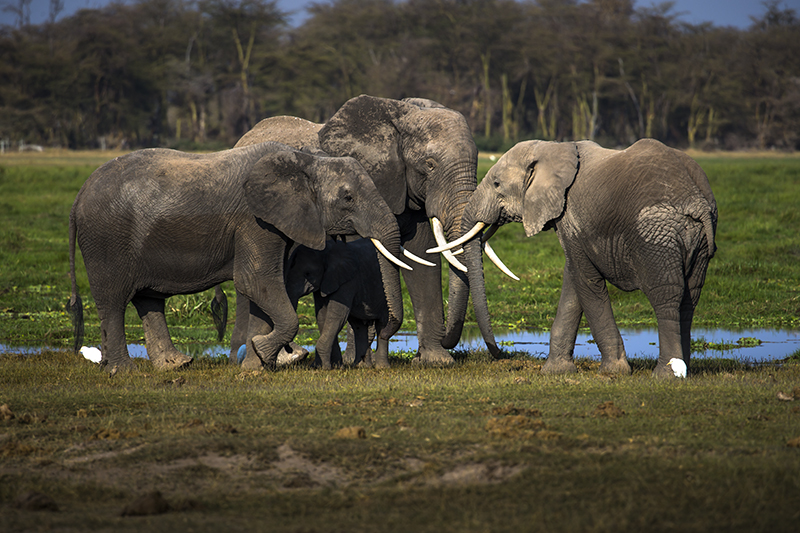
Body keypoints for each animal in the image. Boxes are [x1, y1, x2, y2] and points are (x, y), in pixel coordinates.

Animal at [286, 238, 400, 368]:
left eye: (308, 273)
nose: (289, 350)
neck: (327, 250)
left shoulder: (348, 280)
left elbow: (337, 315)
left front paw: (325, 368)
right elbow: (322, 315)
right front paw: (334, 366)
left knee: (382, 324)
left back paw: (382, 367)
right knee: (359, 327)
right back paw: (361, 366)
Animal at [438, 139, 720, 376]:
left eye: (497, 184)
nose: (501, 354)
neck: (553, 148)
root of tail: (695, 199)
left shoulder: (572, 216)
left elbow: (585, 279)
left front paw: (613, 371)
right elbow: (573, 280)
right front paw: (555, 372)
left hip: (655, 232)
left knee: (666, 293)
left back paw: (667, 374)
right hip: (699, 240)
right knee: (690, 296)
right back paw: (684, 368)